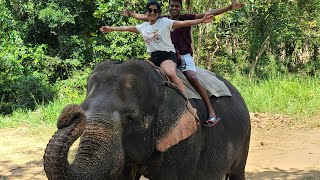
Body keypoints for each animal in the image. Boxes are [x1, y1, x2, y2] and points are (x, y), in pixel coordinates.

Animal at [43, 59, 251, 180]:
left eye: (130, 118)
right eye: (84, 110)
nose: (70, 113)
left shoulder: (186, 142)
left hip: (245, 137)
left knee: (237, 173)